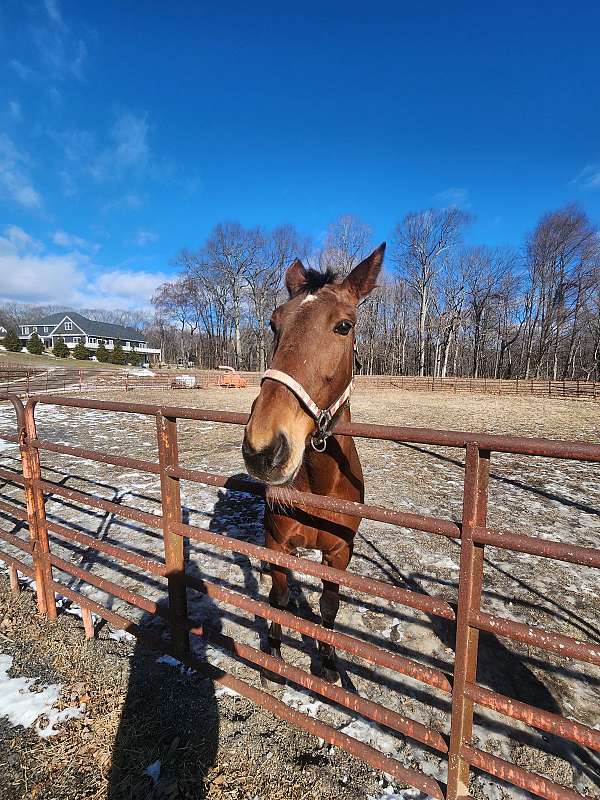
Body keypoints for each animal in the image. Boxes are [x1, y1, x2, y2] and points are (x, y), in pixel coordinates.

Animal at [243, 242, 384, 680]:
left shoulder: (339, 554)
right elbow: (279, 597)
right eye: (273, 324)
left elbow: (329, 607)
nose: (263, 447)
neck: (321, 486)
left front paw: (327, 663)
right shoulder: (278, 543)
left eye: (344, 326)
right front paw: (273, 654)